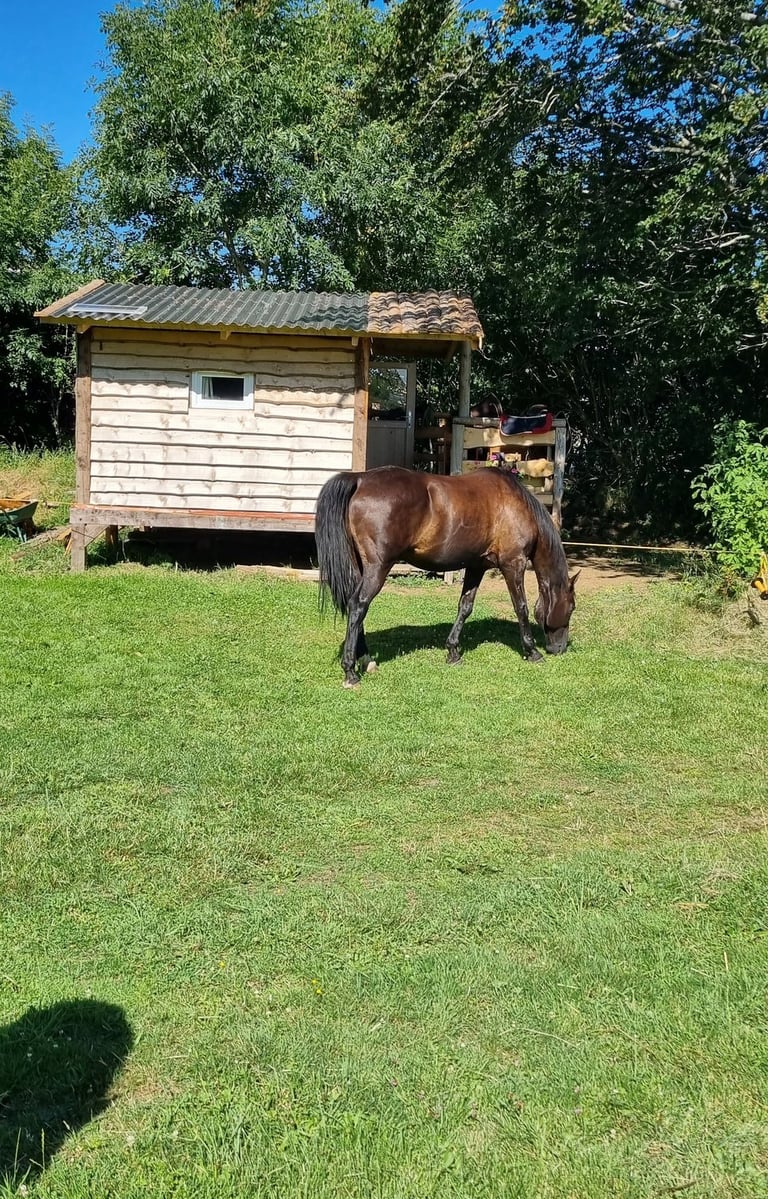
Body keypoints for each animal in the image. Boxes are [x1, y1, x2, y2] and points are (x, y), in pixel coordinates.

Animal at [315, 465, 579, 688]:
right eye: (572, 607)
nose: (559, 648)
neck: (514, 504)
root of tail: (360, 479)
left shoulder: (476, 567)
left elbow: (465, 607)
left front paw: (453, 652)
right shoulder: (513, 564)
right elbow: (521, 607)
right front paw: (532, 651)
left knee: (355, 609)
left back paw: (366, 660)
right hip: (377, 568)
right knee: (358, 606)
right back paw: (350, 672)